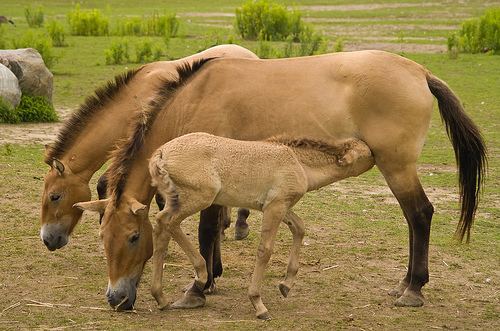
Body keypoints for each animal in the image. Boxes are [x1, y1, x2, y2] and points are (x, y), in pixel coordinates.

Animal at [146, 134, 374, 320]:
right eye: (367, 153)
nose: (377, 156)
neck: (298, 162)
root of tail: (160, 153)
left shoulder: (279, 206)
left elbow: (299, 228)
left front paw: (286, 284)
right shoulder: (275, 207)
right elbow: (265, 250)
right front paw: (258, 303)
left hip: (177, 199)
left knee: (161, 225)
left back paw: (161, 297)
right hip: (200, 197)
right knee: (169, 223)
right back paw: (200, 275)